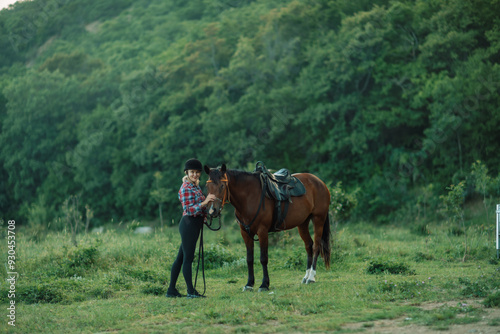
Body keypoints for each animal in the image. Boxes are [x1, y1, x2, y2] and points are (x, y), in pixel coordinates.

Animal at [203, 164, 332, 292]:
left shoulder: (262, 231)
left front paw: (264, 284)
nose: (212, 211)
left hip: (318, 219)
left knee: (316, 246)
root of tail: (320, 182)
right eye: (207, 186)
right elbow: (249, 259)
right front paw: (249, 284)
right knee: (308, 246)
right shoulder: (245, 233)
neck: (249, 197)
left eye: (222, 186)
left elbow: (263, 258)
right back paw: (306, 276)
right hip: (303, 223)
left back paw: (311, 277)